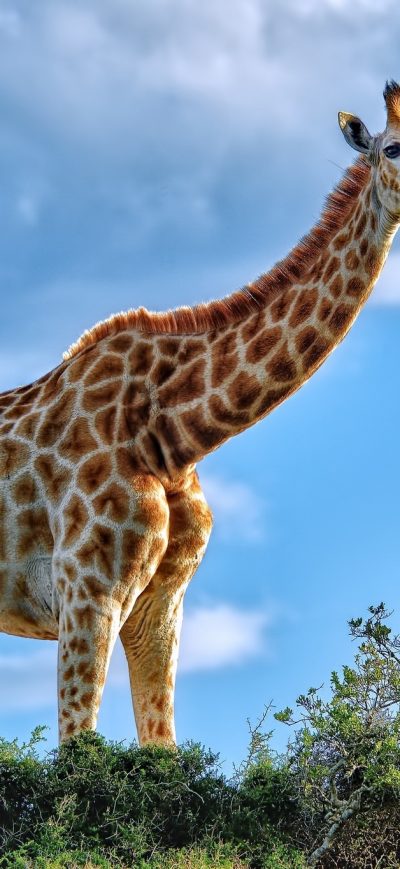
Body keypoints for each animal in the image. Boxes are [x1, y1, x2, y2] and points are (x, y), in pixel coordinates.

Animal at [1, 82, 400, 746]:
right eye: (393, 147)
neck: (174, 433)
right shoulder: (86, 592)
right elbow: (77, 749)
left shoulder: (158, 608)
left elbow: (162, 747)